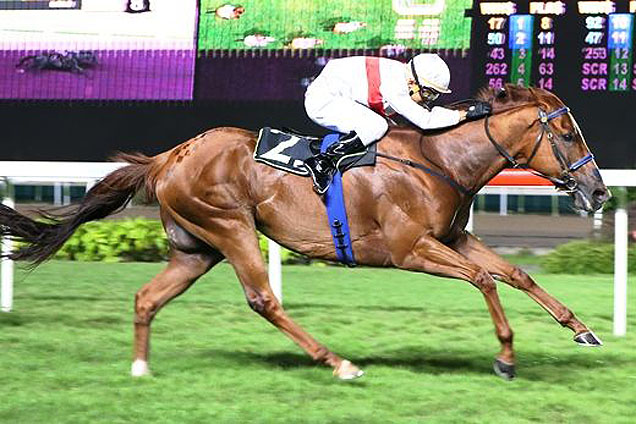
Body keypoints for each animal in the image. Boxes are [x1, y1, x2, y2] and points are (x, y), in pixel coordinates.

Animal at [0, 85, 612, 380]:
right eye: (566, 133)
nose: (600, 192)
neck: (439, 160)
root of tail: (167, 157)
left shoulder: (454, 238)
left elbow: (516, 273)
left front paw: (582, 329)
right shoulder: (410, 249)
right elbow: (486, 281)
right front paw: (506, 357)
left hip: (196, 249)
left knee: (147, 298)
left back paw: (140, 367)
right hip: (231, 227)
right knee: (264, 299)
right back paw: (339, 363)